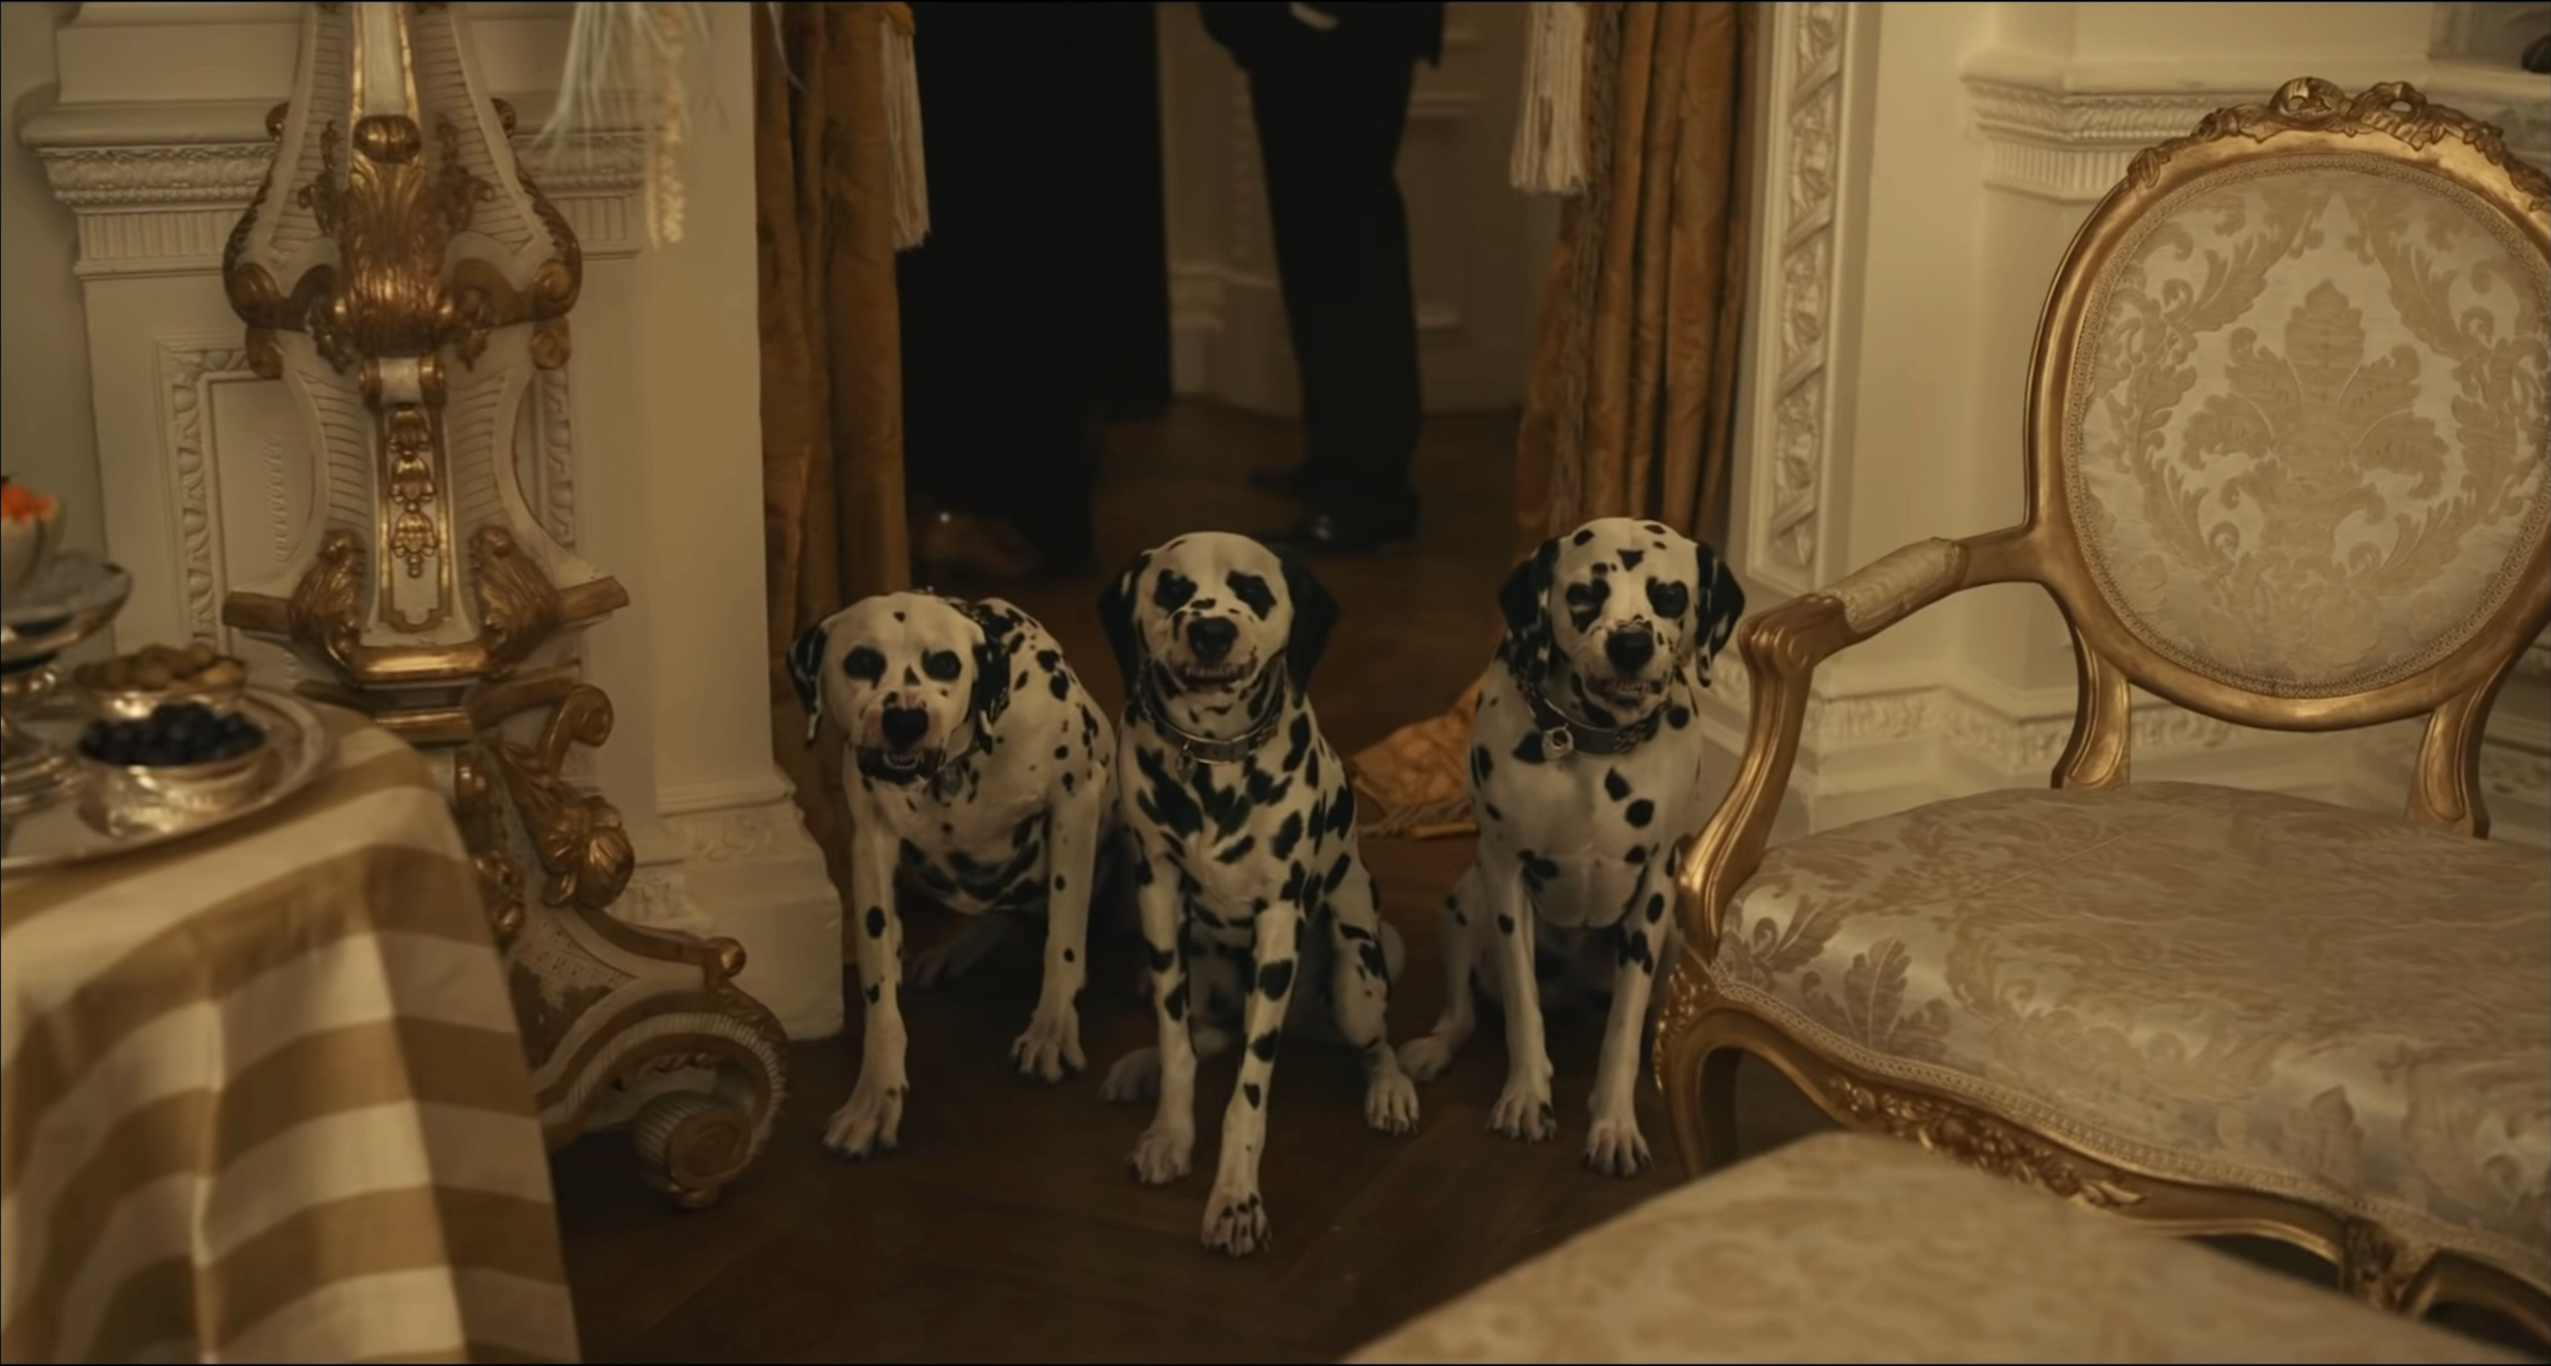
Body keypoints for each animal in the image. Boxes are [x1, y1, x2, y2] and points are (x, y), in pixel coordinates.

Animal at [790, 591, 1119, 1159]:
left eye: (944, 663)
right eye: (861, 661)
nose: (904, 720)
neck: (959, 766)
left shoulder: (1077, 801)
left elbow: (1064, 940)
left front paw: (1052, 1031)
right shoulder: (871, 848)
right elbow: (880, 997)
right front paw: (874, 1097)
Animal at [1094, 532, 1420, 1256]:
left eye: (1252, 590)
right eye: (1172, 589)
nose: (1211, 631)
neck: (1214, 763)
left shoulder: (1278, 921)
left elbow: (1248, 1088)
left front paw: (1235, 1200)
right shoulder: (1159, 896)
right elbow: (1177, 1040)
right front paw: (1169, 1132)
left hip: (1355, 977)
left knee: (1372, 1041)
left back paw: (1389, 1088)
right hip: (1199, 969)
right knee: (1207, 1033)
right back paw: (1138, 1067)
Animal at [1398, 517, 1744, 1176]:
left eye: (1669, 596)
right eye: (1585, 595)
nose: (1630, 644)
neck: (1593, 745)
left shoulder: (1654, 890)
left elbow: (1623, 1029)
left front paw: (1613, 1124)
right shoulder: (1506, 875)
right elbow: (1521, 1009)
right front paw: (1526, 1097)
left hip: (1675, 937)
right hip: (1464, 904)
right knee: (1463, 1012)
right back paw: (1433, 1048)